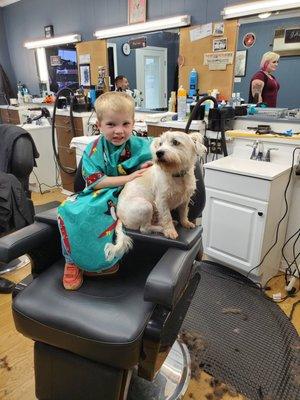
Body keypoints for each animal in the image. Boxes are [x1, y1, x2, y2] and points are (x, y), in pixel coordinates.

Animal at [105, 131, 206, 262]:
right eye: (160, 144)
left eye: (175, 142)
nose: (159, 153)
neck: (176, 175)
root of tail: (119, 217)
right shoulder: (161, 201)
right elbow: (167, 217)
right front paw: (170, 231)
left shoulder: (185, 199)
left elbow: (184, 213)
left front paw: (186, 223)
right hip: (146, 206)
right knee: (145, 229)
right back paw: (162, 228)